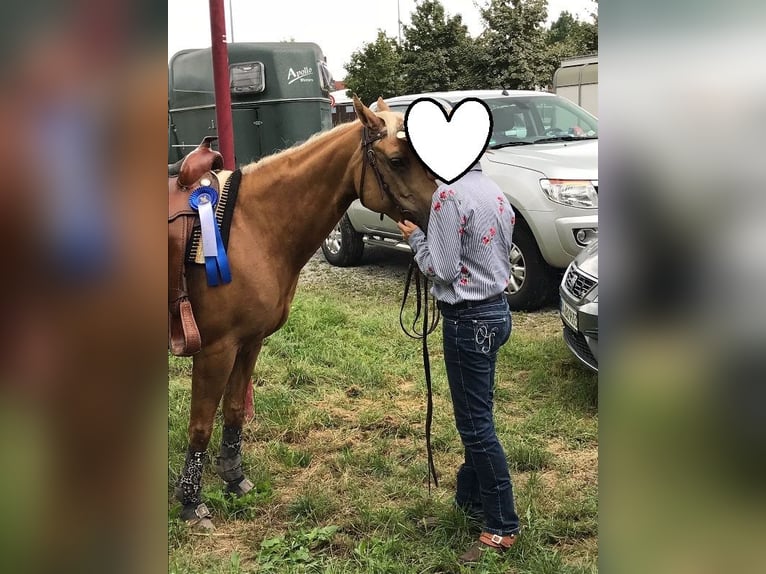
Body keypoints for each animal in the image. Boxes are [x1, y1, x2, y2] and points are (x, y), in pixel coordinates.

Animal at [174, 96, 438, 527]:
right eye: (398, 160)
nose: (439, 213)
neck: (252, 226)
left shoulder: (248, 343)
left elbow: (234, 410)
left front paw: (234, 478)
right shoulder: (216, 350)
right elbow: (200, 425)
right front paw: (190, 502)